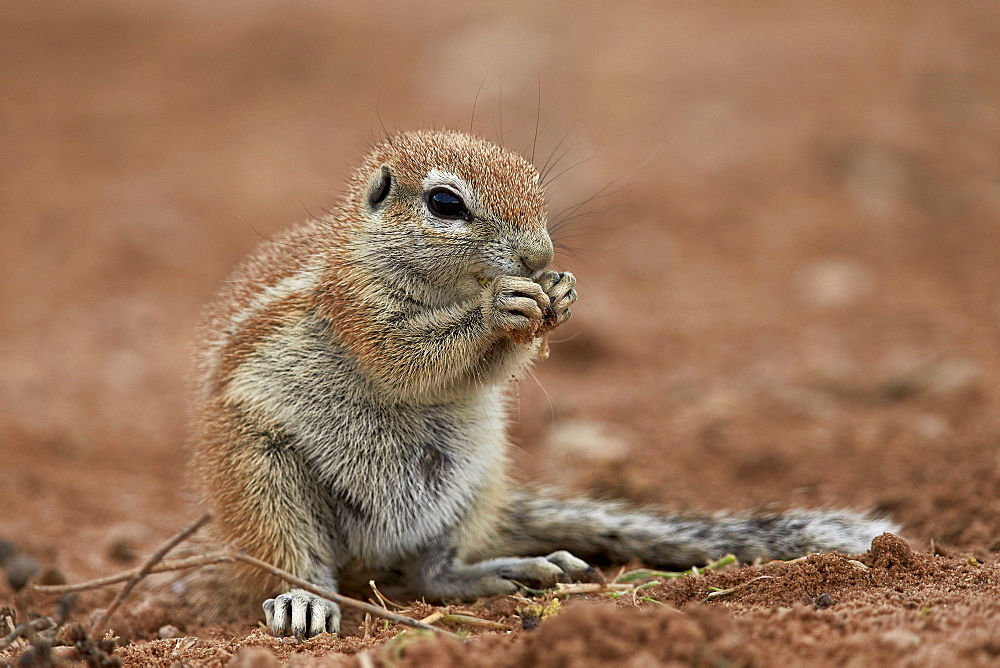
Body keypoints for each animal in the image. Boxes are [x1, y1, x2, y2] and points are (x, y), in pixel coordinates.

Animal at [189, 129, 900, 636]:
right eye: (444, 203)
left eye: (535, 185)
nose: (539, 255)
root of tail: (370, 553)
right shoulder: (357, 306)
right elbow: (405, 357)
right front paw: (498, 307)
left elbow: (486, 368)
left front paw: (560, 292)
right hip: (262, 483)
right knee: (296, 560)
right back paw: (301, 602)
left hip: (469, 481)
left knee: (432, 574)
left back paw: (507, 569)